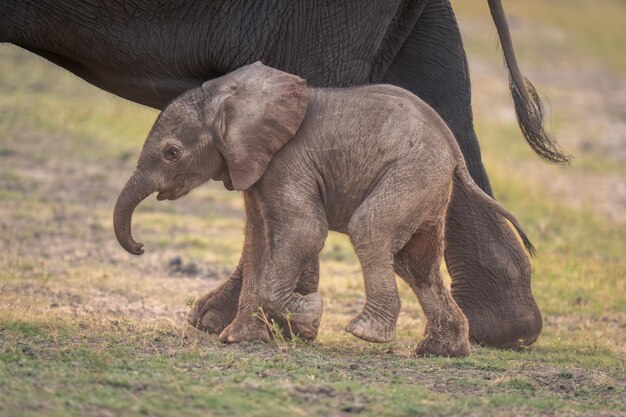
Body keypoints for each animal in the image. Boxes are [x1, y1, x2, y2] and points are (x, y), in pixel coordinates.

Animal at [113, 61, 532, 354]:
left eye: (171, 153)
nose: (141, 246)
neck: (232, 95)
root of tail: (454, 152)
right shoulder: (255, 168)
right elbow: (258, 242)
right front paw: (239, 339)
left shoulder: (287, 161)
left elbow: (305, 231)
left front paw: (309, 320)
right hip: (425, 188)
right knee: (415, 262)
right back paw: (441, 351)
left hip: (411, 174)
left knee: (370, 230)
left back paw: (365, 332)